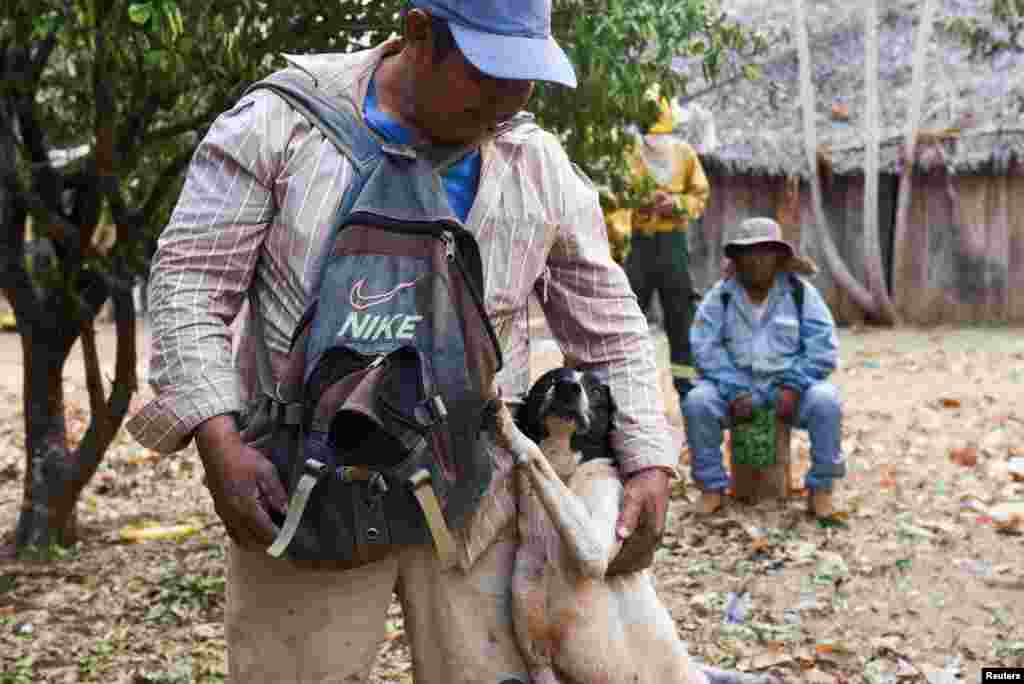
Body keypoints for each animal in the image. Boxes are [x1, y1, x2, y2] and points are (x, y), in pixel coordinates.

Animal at [505, 368, 782, 684]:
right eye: (549, 380)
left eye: (595, 390)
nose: (567, 387)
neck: (567, 472)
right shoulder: (539, 663)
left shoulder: (593, 550)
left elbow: (536, 457)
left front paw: (506, 426)